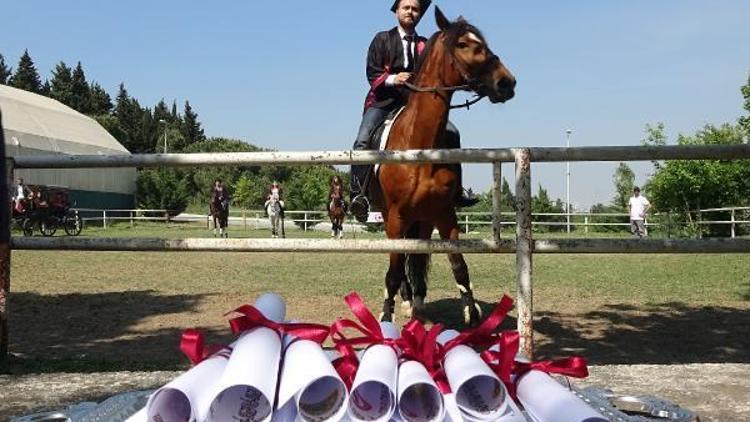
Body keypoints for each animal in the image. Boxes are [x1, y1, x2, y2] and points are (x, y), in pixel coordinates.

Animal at [382, 8, 516, 324]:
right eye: (464, 44)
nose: (507, 82)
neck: (419, 149)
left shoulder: (444, 214)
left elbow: (459, 266)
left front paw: (473, 315)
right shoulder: (395, 217)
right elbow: (393, 272)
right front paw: (384, 317)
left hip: (422, 221)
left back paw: (417, 302)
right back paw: (407, 302)